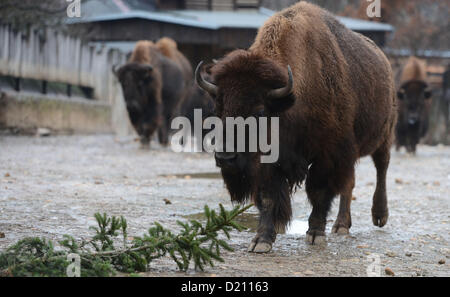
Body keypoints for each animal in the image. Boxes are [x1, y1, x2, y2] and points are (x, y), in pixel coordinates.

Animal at [195, 2, 396, 252]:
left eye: (260, 112)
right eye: (218, 109)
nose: (225, 157)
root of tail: (385, 62)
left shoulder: (328, 154)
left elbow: (319, 192)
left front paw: (315, 234)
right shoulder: (269, 164)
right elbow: (268, 196)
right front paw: (261, 240)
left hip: (383, 136)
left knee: (381, 168)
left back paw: (378, 216)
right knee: (348, 184)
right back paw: (340, 225)